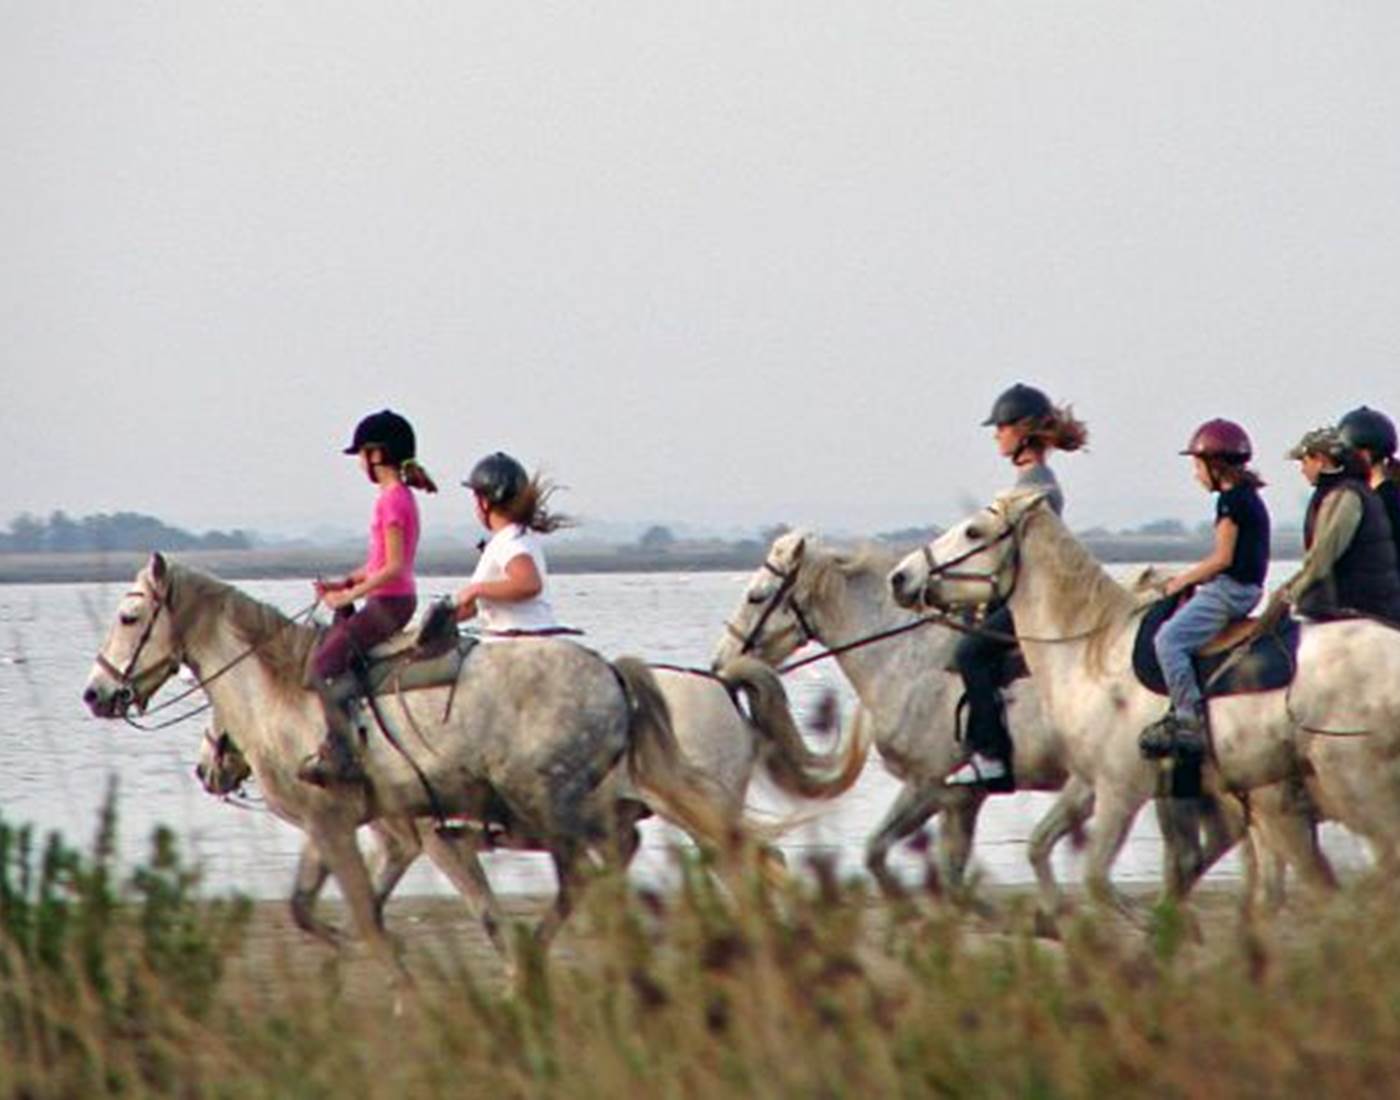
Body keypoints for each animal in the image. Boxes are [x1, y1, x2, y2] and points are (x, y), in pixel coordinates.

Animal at [83, 553, 764, 980]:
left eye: (128, 616)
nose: (96, 694)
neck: (283, 694)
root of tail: (615, 676)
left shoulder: (368, 829)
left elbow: (385, 915)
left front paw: (403, 983)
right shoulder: (358, 830)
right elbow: (314, 907)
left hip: (567, 804)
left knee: (607, 874)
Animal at [191, 656, 870, 948]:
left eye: (218, 717)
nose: (205, 769)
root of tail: (722, 685)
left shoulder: (436, 839)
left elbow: (483, 910)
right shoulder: (403, 841)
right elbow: (372, 897)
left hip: (699, 813)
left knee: (751, 867)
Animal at [886, 490, 1391, 913]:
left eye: (974, 532)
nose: (901, 576)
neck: (1092, 651)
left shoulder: (1120, 791)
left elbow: (1098, 879)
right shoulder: (1095, 784)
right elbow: (1058, 850)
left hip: (1349, 788)